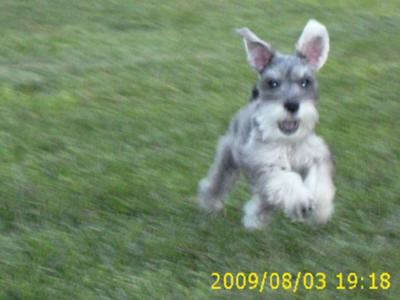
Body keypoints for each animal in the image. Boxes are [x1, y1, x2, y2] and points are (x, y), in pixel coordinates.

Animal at [197, 19, 334, 230]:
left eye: (305, 82)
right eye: (273, 83)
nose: (292, 105)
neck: (288, 142)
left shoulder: (316, 156)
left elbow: (319, 182)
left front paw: (319, 209)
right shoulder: (266, 165)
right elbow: (287, 179)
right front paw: (301, 202)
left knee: (265, 200)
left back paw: (256, 219)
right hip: (228, 160)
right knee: (216, 184)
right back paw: (211, 205)